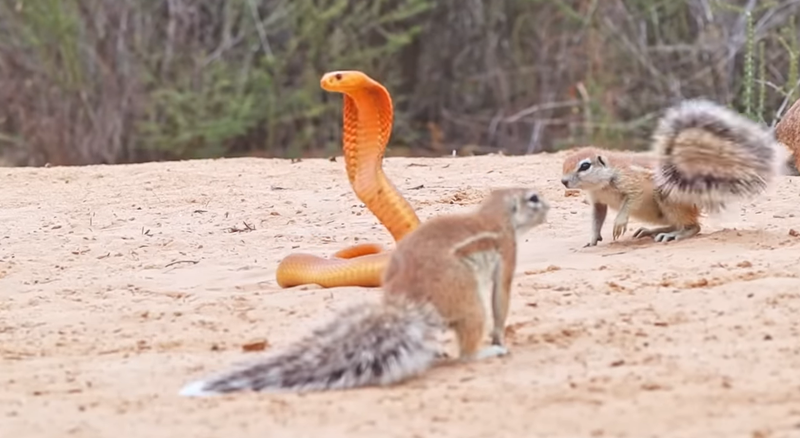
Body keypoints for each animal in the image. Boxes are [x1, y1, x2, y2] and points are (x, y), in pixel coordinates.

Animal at [179, 186, 552, 396]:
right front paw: (501, 338)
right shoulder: (507, 250)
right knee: (468, 343)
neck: (492, 213)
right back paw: (485, 352)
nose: (549, 206)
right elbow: (501, 297)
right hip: (465, 294)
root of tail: (407, 302)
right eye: (533, 199)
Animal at [560, 99, 792, 246]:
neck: (602, 183)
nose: (563, 182)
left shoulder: (632, 182)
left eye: (584, 166)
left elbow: (630, 200)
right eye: (563, 165)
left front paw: (619, 223)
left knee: (694, 226)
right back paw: (652, 231)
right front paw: (592, 239)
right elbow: (597, 218)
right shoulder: (597, 200)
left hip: (668, 196)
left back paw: (673, 235)